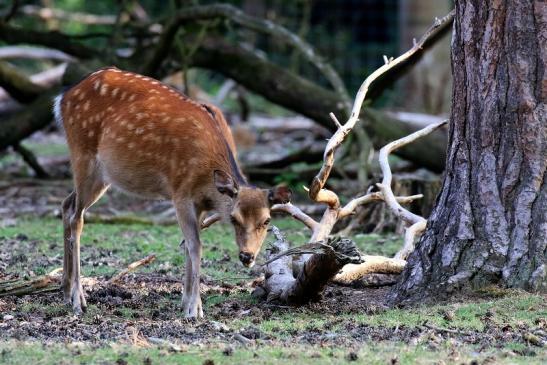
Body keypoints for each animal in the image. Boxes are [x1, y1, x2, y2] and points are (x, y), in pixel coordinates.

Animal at [52, 67, 292, 318]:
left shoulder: (200, 203)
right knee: (76, 217)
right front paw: (194, 309)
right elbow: (195, 245)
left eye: (267, 221)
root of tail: (62, 97)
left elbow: (188, 245)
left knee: (67, 204)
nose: (247, 256)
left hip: (102, 175)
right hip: (83, 155)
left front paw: (185, 303)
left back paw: (65, 289)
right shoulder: (181, 193)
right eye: (234, 218)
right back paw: (78, 299)